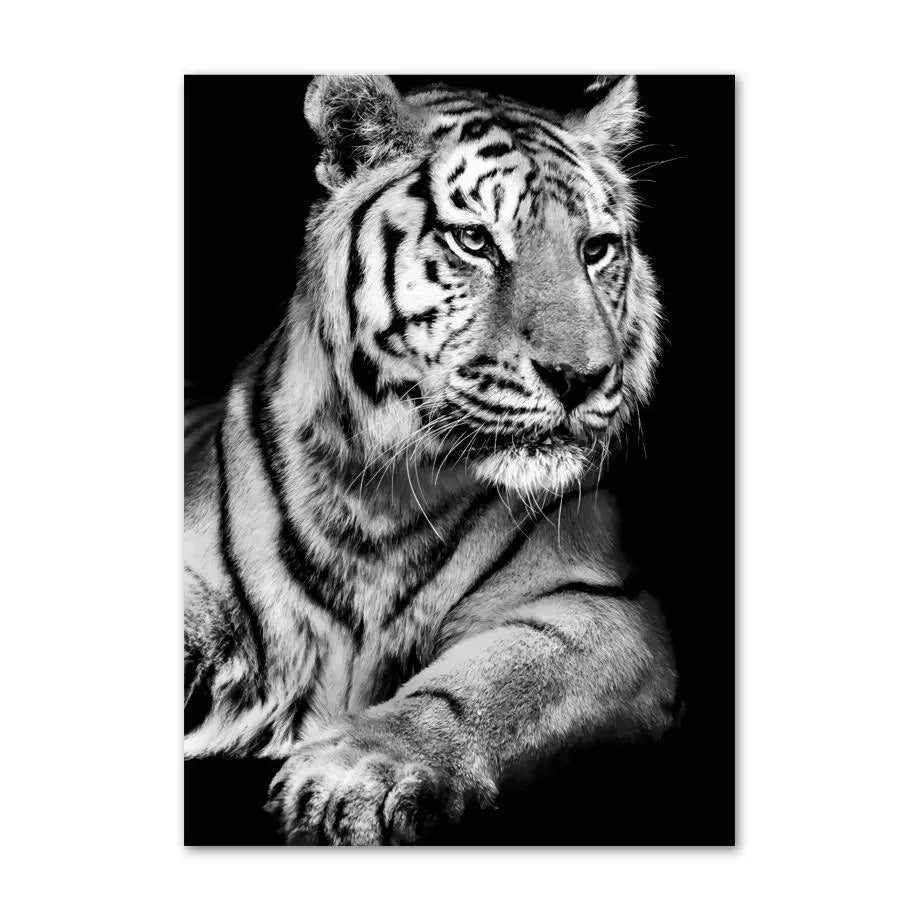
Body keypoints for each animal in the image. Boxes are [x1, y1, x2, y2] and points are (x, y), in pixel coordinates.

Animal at [184, 74, 677, 845]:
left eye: (596, 250)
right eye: (474, 239)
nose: (582, 376)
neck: (376, 493)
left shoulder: (603, 605)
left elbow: (486, 684)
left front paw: (353, 771)